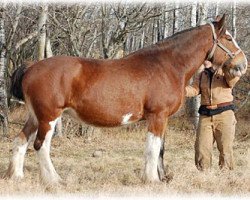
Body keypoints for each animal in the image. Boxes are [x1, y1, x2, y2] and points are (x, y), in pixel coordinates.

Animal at [4, 14, 247, 185]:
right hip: (49, 117)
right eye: (229, 38)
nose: (243, 64)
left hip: (35, 116)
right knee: (40, 145)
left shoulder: (162, 119)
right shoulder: (157, 117)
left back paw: (17, 176)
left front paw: (160, 178)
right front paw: (152, 179)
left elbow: (160, 149)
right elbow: (152, 148)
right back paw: (54, 180)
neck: (167, 65)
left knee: (20, 140)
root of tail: (32, 66)